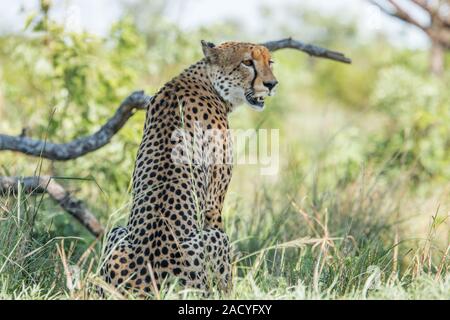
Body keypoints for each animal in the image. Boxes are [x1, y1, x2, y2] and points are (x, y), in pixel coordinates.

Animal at [102, 40, 278, 296]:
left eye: (270, 62)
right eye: (247, 62)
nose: (272, 84)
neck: (206, 81)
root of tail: (148, 287)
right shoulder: (213, 203)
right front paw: (234, 292)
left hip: (117, 233)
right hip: (213, 242)